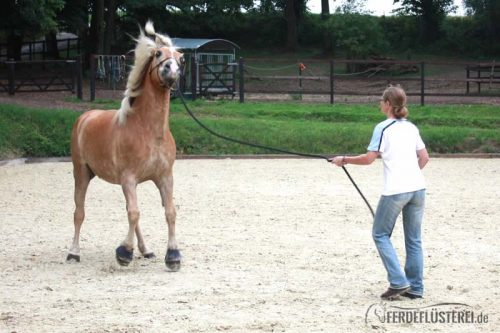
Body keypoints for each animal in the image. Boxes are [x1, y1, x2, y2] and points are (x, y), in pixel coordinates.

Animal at [65, 20, 184, 270]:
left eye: (181, 58)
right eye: (158, 54)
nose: (172, 71)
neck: (149, 132)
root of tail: (85, 117)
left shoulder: (164, 177)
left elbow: (169, 212)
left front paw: (173, 256)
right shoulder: (128, 178)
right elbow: (134, 213)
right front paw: (124, 253)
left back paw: (146, 250)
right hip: (81, 173)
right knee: (79, 212)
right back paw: (73, 252)